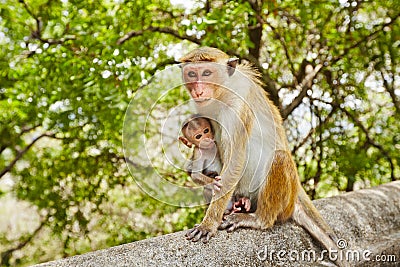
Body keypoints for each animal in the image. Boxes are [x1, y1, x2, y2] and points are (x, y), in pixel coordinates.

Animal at [180, 46, 342, 262]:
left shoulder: (238, 107)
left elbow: (235, 159)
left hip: (285, 202)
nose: (198, 90)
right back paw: (240, 203)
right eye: (192, 74)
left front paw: (209, 223)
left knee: (280, 157)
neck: (223, 92)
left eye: (207, 73)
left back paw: (259, 219)